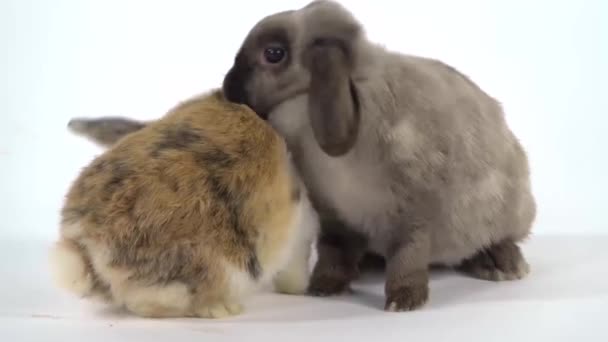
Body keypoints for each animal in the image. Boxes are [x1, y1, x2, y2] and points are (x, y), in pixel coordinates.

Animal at [220, 0, 536, 312]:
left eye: (274, 53)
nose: (227, 86)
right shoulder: (334, 218)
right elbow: (333, 252)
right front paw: (324, 287)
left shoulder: (413, 213)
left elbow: (407, 255)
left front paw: (404, 300)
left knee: (499, 239)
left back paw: (501, 264)